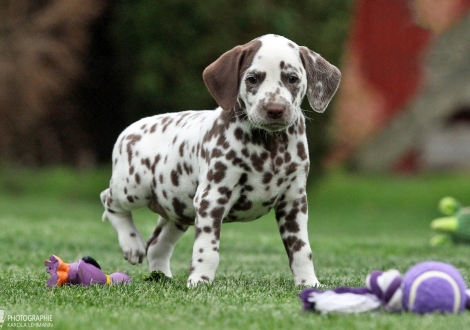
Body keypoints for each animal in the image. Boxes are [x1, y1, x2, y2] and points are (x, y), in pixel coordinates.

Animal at [101, 34, 340, 286]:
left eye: (292, 78)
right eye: (252, 79)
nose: (275, 109)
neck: (269, 147)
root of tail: (129, 130)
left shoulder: (294, 201)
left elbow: (301, 249)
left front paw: (309, 283)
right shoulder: (212, 198)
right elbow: (207, 249)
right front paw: (200, 280)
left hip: (177, 211)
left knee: (157, 246)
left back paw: (161, 275)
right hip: (133, 188)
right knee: (108, 201)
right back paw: (131, 243)